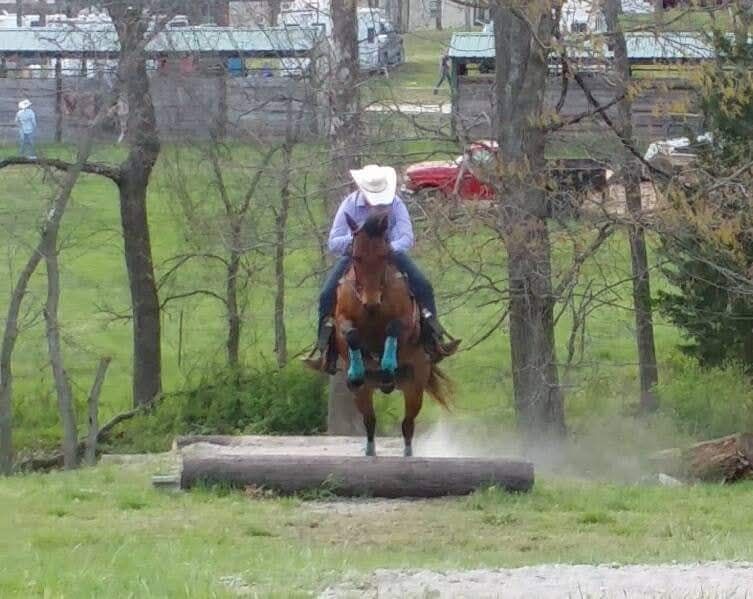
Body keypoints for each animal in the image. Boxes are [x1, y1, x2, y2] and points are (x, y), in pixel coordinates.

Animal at [334, 213, 446, 458]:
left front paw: (387, 366)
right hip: (363, 394)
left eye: (384, 255)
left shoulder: (406, 321)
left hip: (415, 386)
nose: (371, 301)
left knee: (407, 424)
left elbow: (393, 328)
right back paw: (370, 451)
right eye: (356, 257)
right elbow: (352, 334)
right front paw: (356, 371)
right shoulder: (341, 320)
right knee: (370, 421)